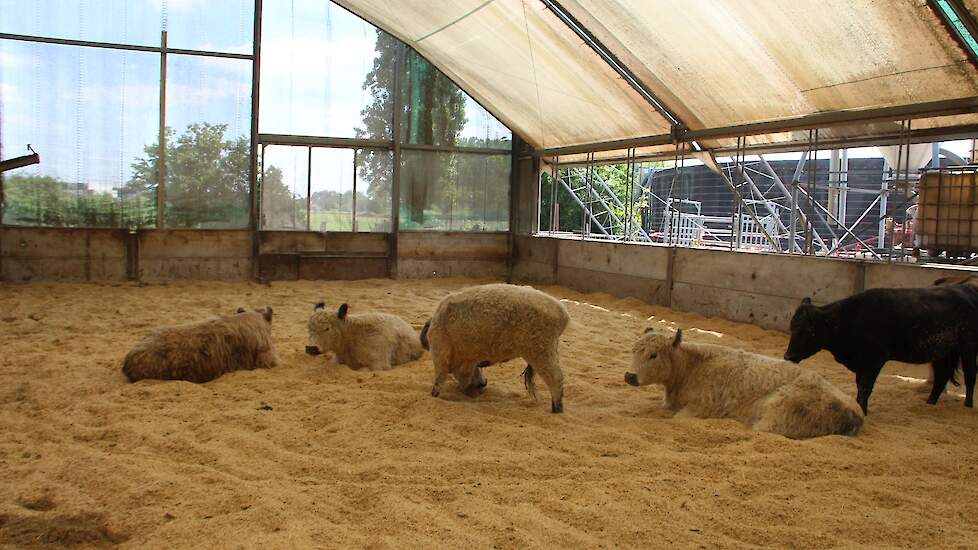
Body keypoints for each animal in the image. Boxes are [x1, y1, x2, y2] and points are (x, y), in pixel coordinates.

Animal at [624, 328, 860, 440]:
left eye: (653, 355)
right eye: (633, 349)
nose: (629, 375)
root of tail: (855, 412)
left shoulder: (699, 409)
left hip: (773, 418)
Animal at [780, 286, 976, 416]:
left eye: (806, 331)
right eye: (792, 327)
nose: (788, 356)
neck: (847, 320)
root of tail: (967, 290)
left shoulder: (874, 361)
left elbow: (865, 387)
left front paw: (863, 410)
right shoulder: (862, 363)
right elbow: (860, 385)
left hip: (968, 346)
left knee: (970, 376)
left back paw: (968, 405)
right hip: (942, 351)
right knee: (942, 376)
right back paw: (930, 402)